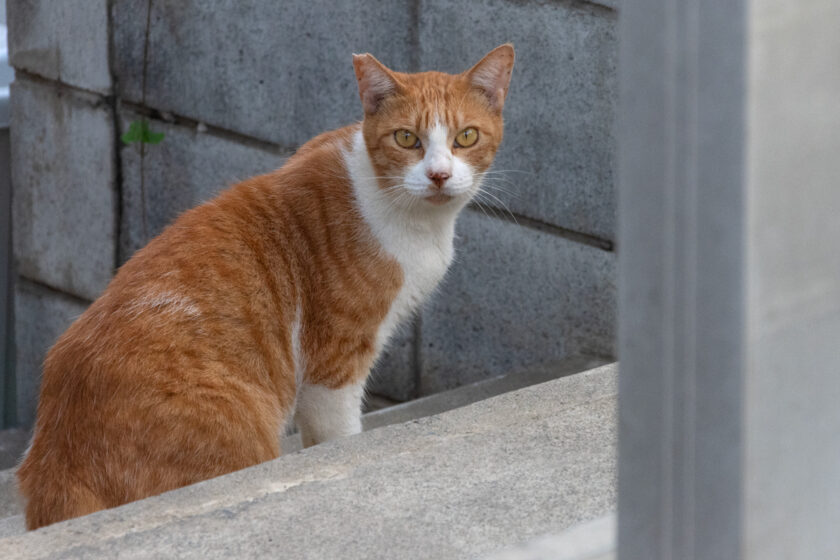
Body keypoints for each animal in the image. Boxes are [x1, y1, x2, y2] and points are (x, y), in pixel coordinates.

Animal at [19, 44, 516, 528]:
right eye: (407, 139)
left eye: (465, 137)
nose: (438, 175)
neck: (413, 218)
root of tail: (54, 458)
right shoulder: (333, 368)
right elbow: (338, 437)